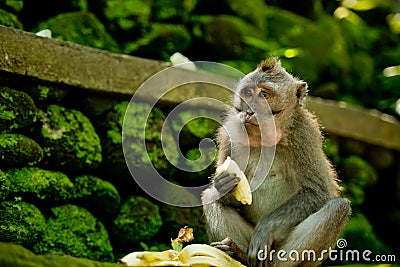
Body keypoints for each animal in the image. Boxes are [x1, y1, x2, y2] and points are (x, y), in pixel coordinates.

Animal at [202, 57, 352, 266]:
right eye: (248, 93)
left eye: (264, 94)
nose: (250, 111)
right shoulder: (228, 133)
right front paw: (225, 185)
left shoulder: (304, 135)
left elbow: (316, 192)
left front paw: (265, 229)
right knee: (210, 197)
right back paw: (237, 254)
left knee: (338, 208)